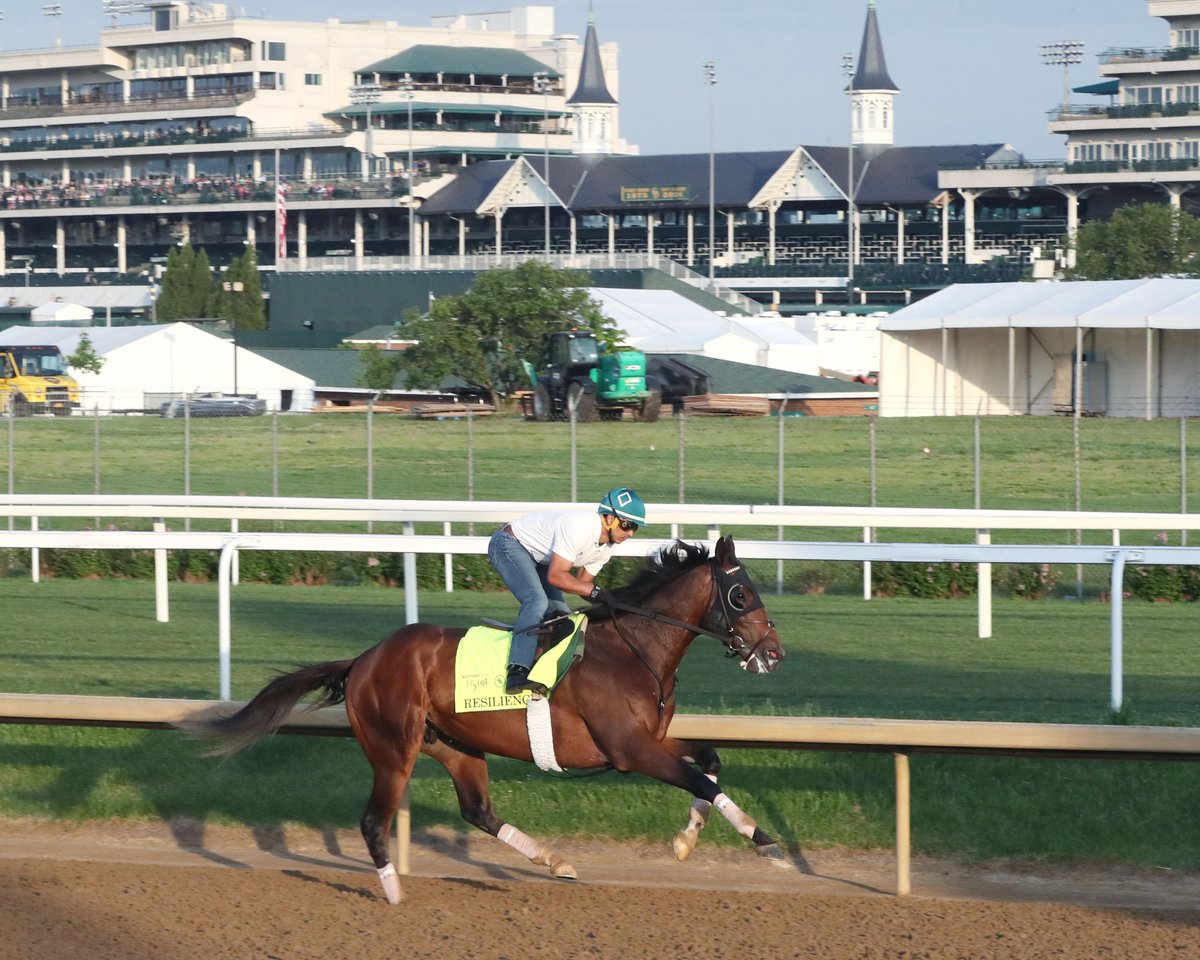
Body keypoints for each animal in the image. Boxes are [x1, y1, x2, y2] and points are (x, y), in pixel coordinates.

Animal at [184, 535, 787, 902]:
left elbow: (710, 762)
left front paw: (686, 840)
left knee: (476, 810)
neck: (632, 648)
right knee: (374, 821)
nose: (774, 653)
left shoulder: (653, 740)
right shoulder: (629, 750)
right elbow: (701, 781)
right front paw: (765, 842)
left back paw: (553, 859)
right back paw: (395, 893)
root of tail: (363, 660)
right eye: (741, 593)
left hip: (455, 746)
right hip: (393, 749)